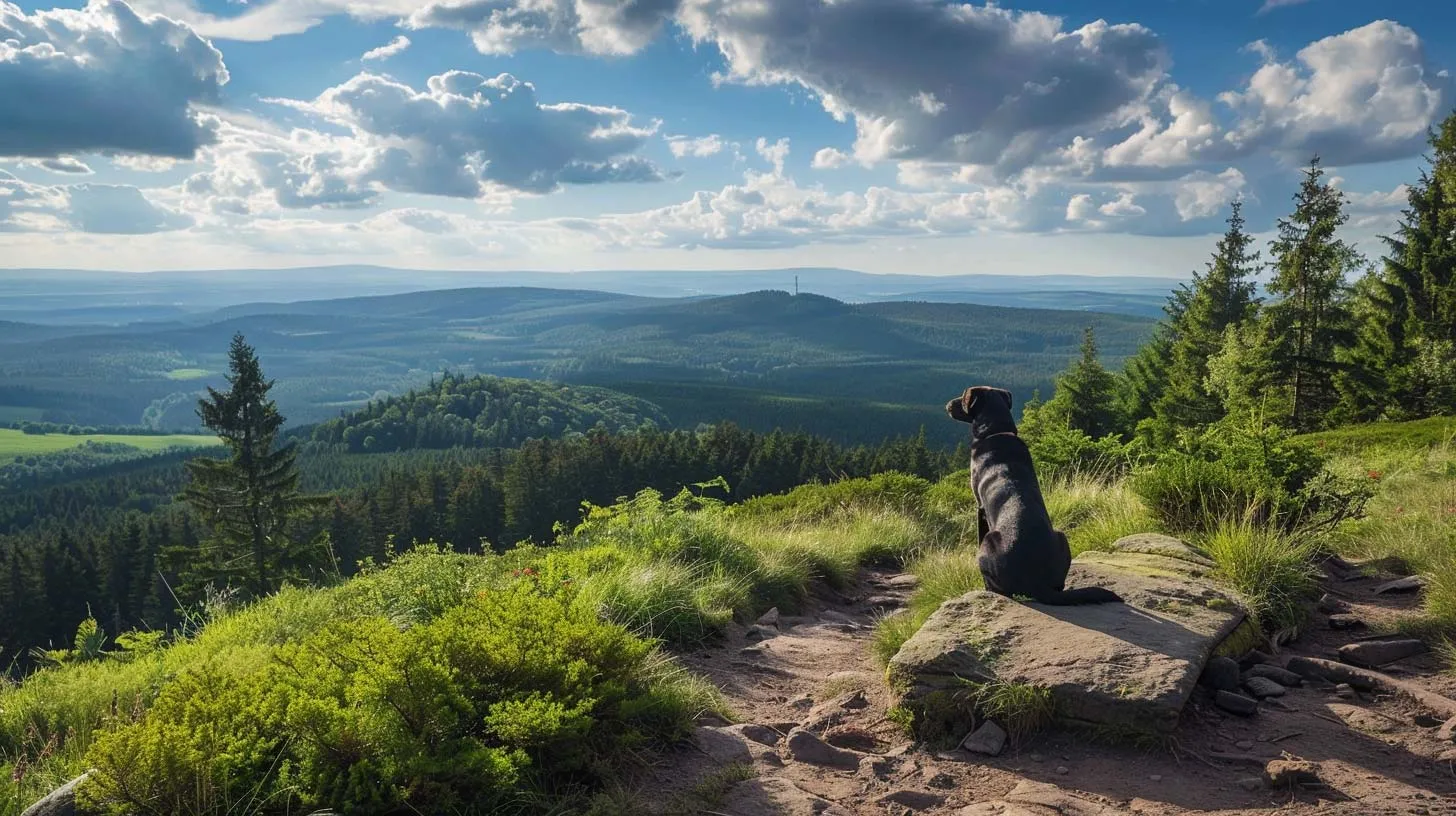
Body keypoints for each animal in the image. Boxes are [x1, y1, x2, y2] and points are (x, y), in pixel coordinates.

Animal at [943, 384, 1124, 606]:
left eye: (963, 398)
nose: (948, 404)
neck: (996, 432)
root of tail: (1037, 584)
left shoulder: (980, 507)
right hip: (1061, 536)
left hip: (988, 541)